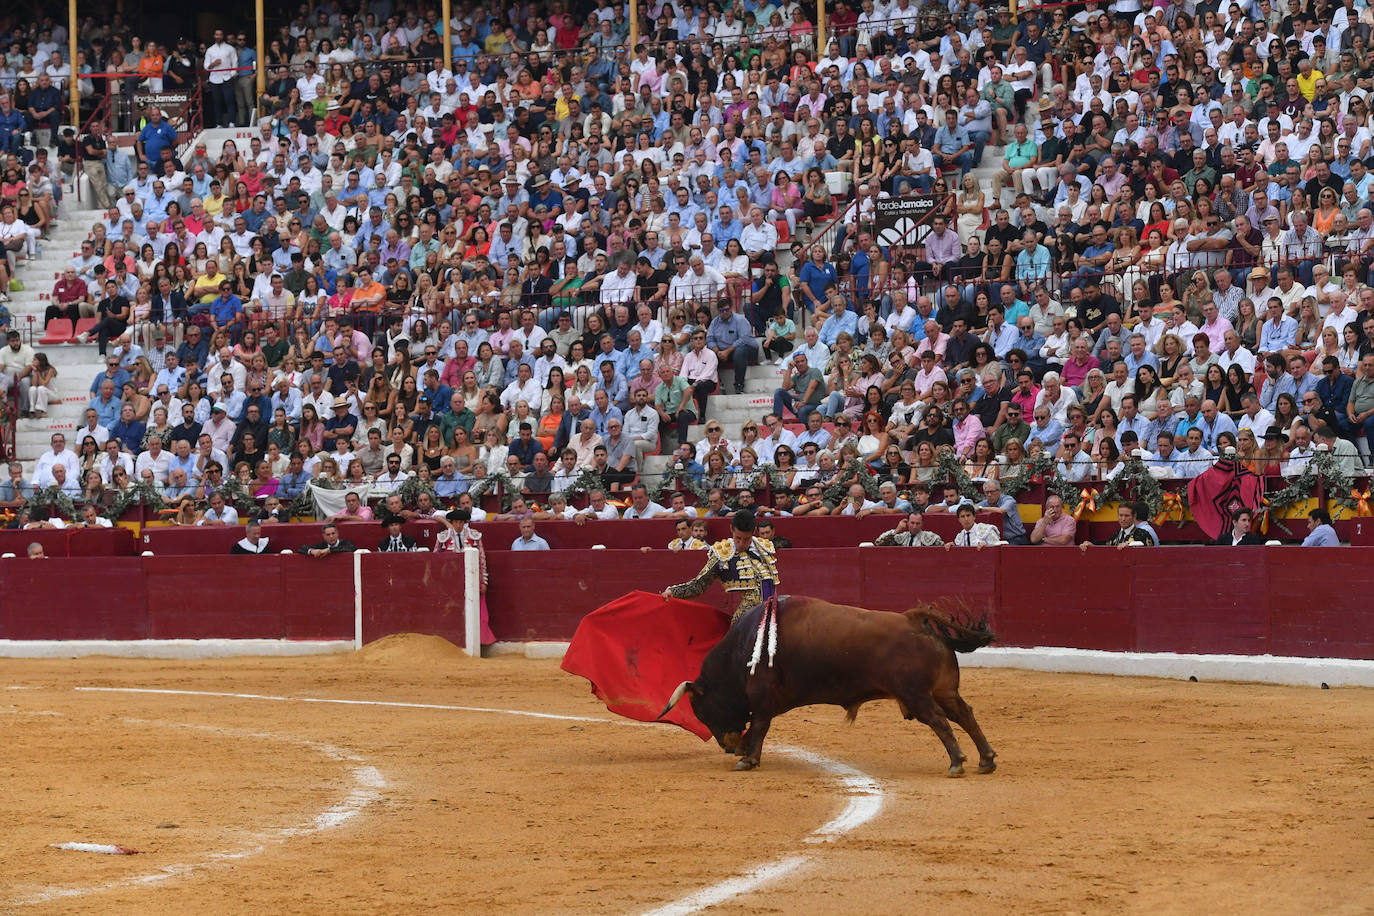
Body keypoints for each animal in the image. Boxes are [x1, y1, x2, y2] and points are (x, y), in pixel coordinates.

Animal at [656, 598, 1000, 780]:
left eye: (704, 711)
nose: (726, 745)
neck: (744, 648)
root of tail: (913, 619)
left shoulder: (762, 698)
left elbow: (759, 727)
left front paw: (747, 759)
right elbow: (756, 727)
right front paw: (745, 752)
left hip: (916, 695)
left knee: (940, 721)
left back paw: (957, 762)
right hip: (944, 691)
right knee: (965, 715)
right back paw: (986, 760)